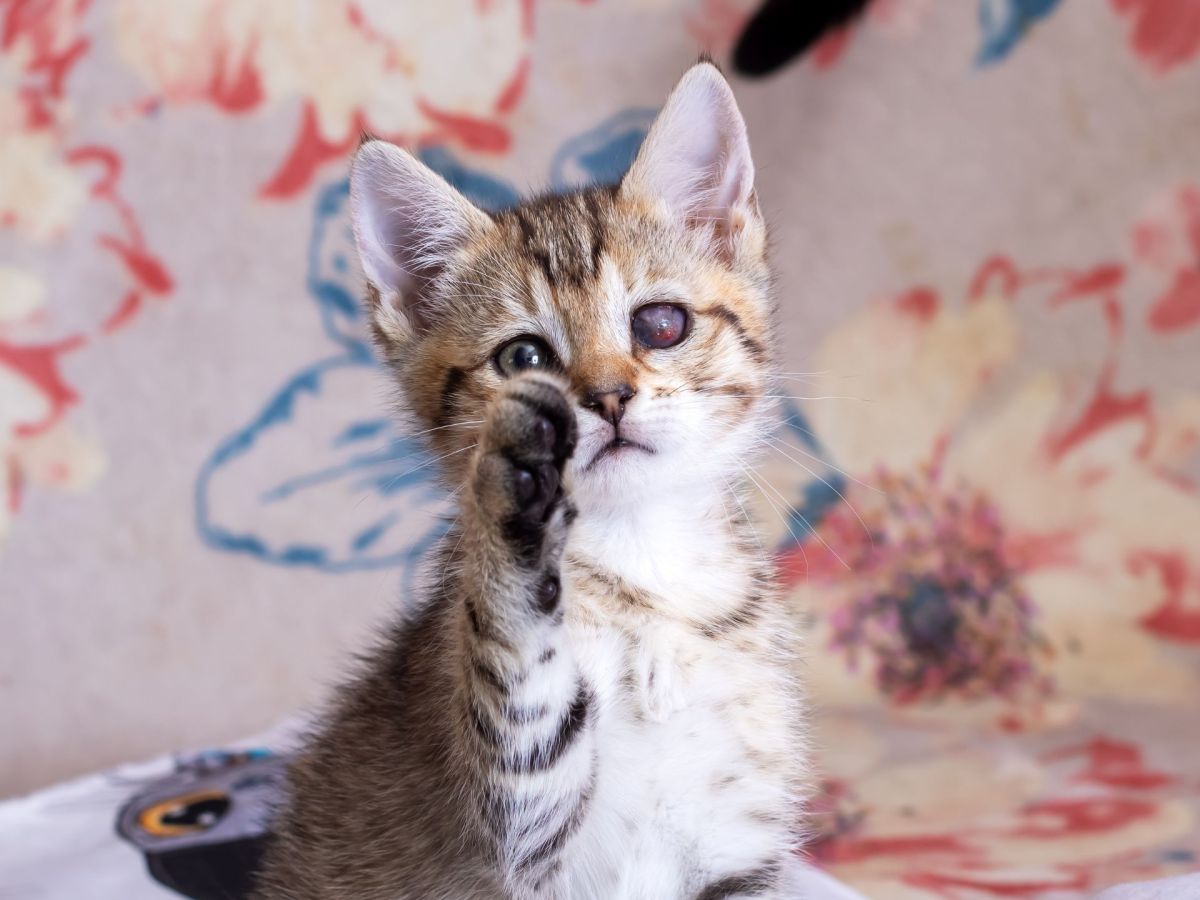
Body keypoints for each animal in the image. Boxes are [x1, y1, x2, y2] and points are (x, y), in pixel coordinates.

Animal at [254, 60, 816, 897]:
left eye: (661, 325)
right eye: (524, 358)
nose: (608, 398)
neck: (644, 578)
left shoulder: (736, 849)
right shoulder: (517, 828)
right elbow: (520, 679)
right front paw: (513, 521)